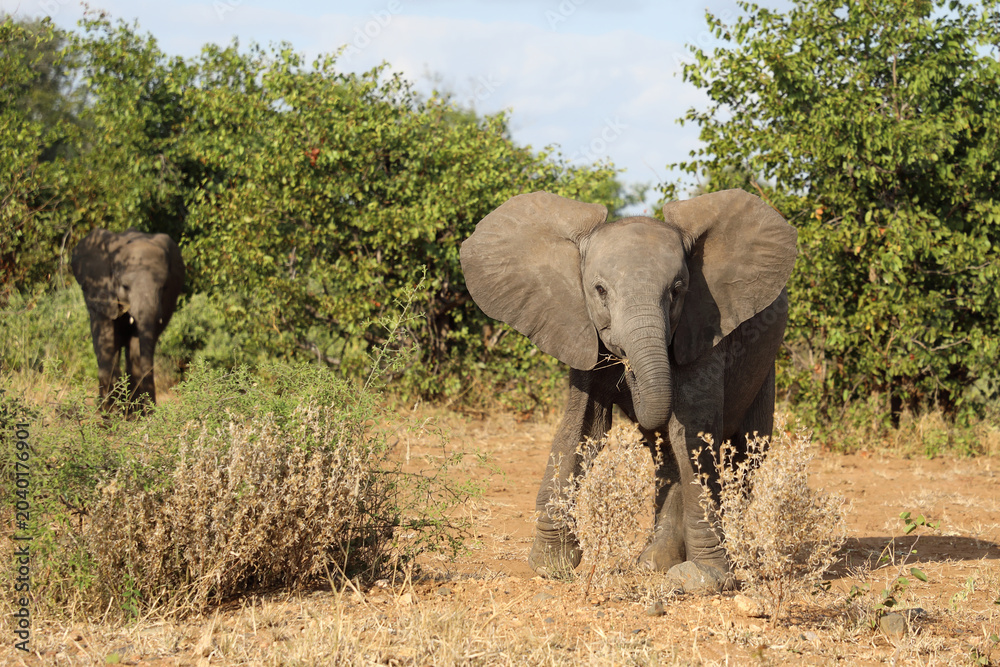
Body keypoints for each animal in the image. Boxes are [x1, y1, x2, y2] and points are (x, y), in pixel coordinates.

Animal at [71, 228, 185, 414]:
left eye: (163, 288)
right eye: (125, 287)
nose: (153, 410)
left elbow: (138, 344)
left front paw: (138, 415)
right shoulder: (101, 290)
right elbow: (106, 339)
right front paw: (110, 414)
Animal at [460, 189, 797, 590]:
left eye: (677, 291)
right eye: (600, 290)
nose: (629, 373)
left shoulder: (702, 327)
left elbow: (692, 431)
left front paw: (704, 578)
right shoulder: (584, 332)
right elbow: (584, 428)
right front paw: (552, 565)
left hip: (765, 367)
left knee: (746, 453)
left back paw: (738, 557)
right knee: (667, 455)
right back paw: (654, 563)